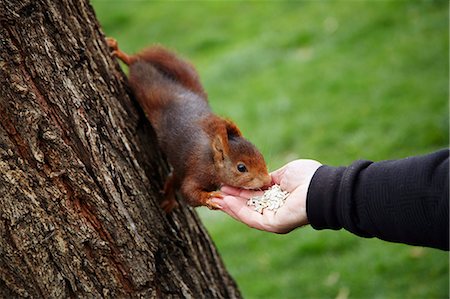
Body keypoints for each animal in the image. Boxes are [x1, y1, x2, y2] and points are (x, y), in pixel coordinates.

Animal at [106, 38, 270, 212]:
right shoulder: (197, 170)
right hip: (146, 86)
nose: (267, 180)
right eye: (241, 167)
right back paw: (122, 54)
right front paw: (208, 198)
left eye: (261, 155)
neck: (211, 161)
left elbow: (175, 182)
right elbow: (188, 192)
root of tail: (183, 91)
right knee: (137, 64)